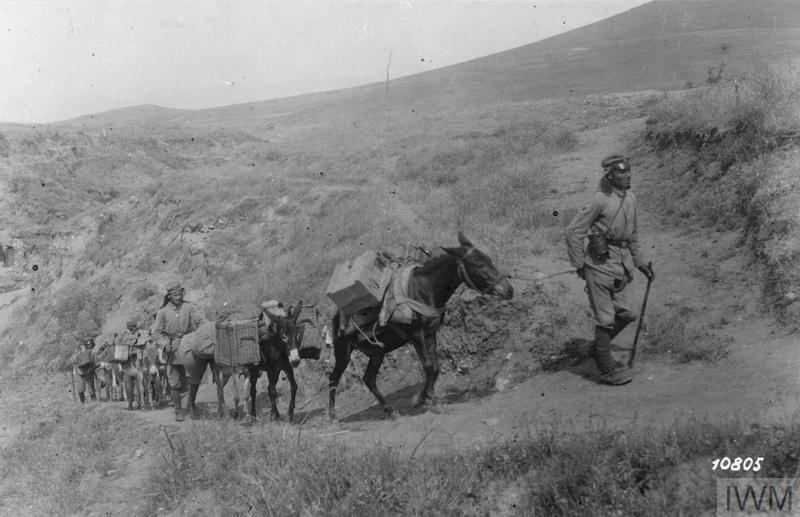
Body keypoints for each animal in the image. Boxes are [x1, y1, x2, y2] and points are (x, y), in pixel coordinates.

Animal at [327, 233, 513, 422]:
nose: (509, 290)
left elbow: (436, 367)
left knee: (368, 379)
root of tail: (334, 319)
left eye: (489, 259)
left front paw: (422, 397)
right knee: (333, 378)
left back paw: (390, 410)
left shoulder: (431, 333)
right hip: (343, 351)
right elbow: (429, 365)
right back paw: (333, 416)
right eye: (478, 264)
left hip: (378, 351)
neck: (423, 289)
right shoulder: (416, 335)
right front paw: (431, 401)